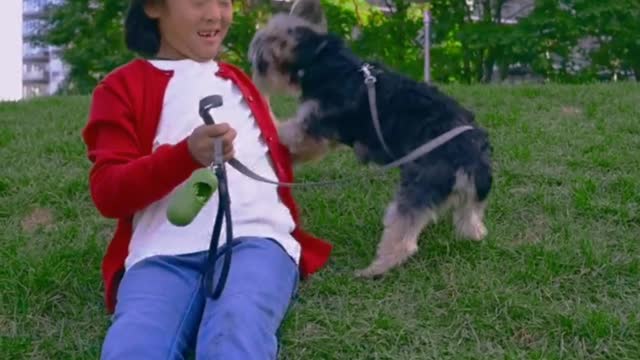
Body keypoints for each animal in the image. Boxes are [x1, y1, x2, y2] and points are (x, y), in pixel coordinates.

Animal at [248, 0, 492, 278]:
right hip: (469, 199)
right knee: (471, 222)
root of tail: (472, 158)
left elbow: (284, 134)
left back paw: (373, 270)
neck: (323, 59)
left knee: (403, 240)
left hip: (419, 187)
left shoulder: (314, 129)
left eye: (260, 60)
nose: (254, 74)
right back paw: (473, 234)